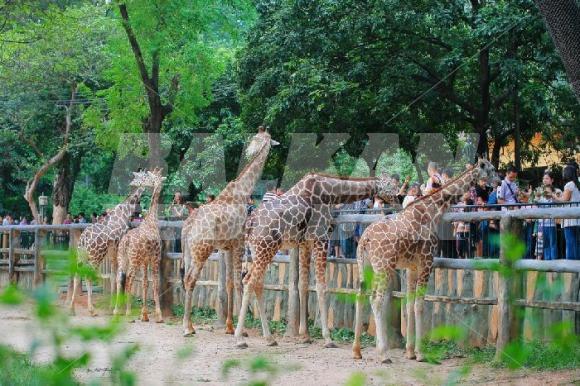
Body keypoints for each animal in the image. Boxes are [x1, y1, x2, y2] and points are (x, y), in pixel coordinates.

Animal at [69, 170, 151, 316]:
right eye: (145, 176)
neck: (126, 211)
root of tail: (84, 239)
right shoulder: (119, 248)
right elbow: (121, 276)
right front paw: (119, 307)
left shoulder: (113, 252)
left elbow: (113, 275)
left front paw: (112, 305)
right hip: (96, 256)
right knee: (88, 276)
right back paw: (92, 310)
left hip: (81, 255)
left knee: (77, 275)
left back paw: (72, 309)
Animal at [114, 169, 167, 322]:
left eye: (147, 177)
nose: (132, 183)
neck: (152, 220)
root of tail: (126, 241)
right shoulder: (155, 258)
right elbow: (155, 284)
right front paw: (159, 315)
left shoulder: (145, 260)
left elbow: (145, 283)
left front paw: (144, 314)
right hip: (134, 259)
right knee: (129, 279)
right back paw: (127, 312)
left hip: (123, 257)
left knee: (119, 277)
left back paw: (116, 310)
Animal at [182, 128, 280, 336]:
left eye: (257, 139)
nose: (250, 152)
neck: (243, 191)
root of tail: (188, 226)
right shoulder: (240, 243)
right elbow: (238, 282)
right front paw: (242, 329)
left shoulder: (226, 247)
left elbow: (228, 283)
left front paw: (229, 326)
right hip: (202, 251)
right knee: (191, 280)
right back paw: (187, 328)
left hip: (189, 252)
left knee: (185, 278)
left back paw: (190, 325)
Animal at [233, 173, 402, 348]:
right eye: (391, 185)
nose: (399, 202)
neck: (330, 193)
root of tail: (250, 224)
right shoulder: (321, 238)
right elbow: (321, 286)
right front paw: (328, 338)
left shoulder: (305, 243)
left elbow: (303, 285)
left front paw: (305, 335)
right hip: (265, 248)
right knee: (250, 282)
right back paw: (239, 338)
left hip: (260, 250)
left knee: (254, 282)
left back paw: (269, 338)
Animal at [352, 158, 496, 364]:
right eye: (491, 169)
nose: (497, 182)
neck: (432, 210)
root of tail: (365, 239)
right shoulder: (427, 261)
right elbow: (420, 305)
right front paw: (420, 353)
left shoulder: (412, 266)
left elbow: (409, 303)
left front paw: (410, 351)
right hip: (383, 266)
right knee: (377, 300)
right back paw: (383, 353)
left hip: (365, 265)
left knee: (360, 295)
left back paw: (357, 350)